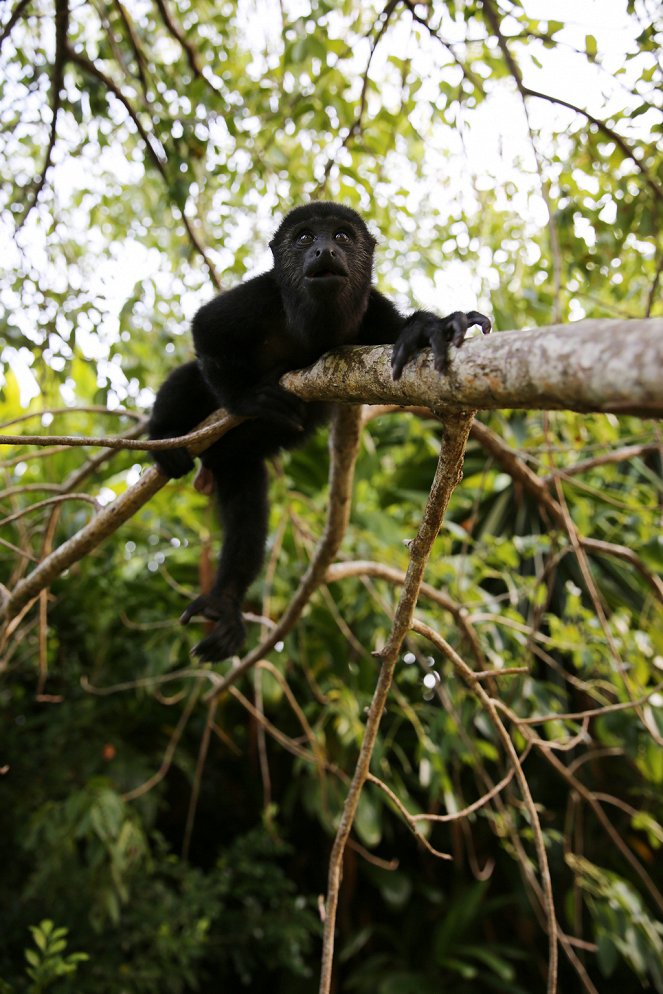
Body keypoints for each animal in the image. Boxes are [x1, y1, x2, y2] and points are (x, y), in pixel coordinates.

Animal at [152, 203, 492, 660]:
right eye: (304, 238)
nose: (324, 250)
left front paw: (429, 329)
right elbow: (206, 327)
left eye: (342, 236)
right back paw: (163, 442)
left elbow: (403, 340)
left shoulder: (375, 311)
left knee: (246, 508)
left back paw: (224, 602)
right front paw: (250, 400)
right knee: (188, 377)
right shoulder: (258, 297)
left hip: (236, 462)